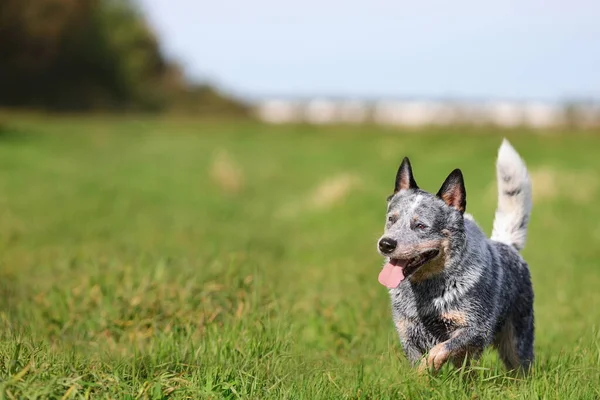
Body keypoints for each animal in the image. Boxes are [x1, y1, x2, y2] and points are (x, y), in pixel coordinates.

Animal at [376, 139, 536, 374]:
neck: (427, 290)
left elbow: (442, 348)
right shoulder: (407, 334)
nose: (386, 244)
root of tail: (507, 244)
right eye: (391, 219)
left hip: (517, 341)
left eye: (421, 225)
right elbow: (419, 364)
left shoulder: (475, 328)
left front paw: (431, 364)